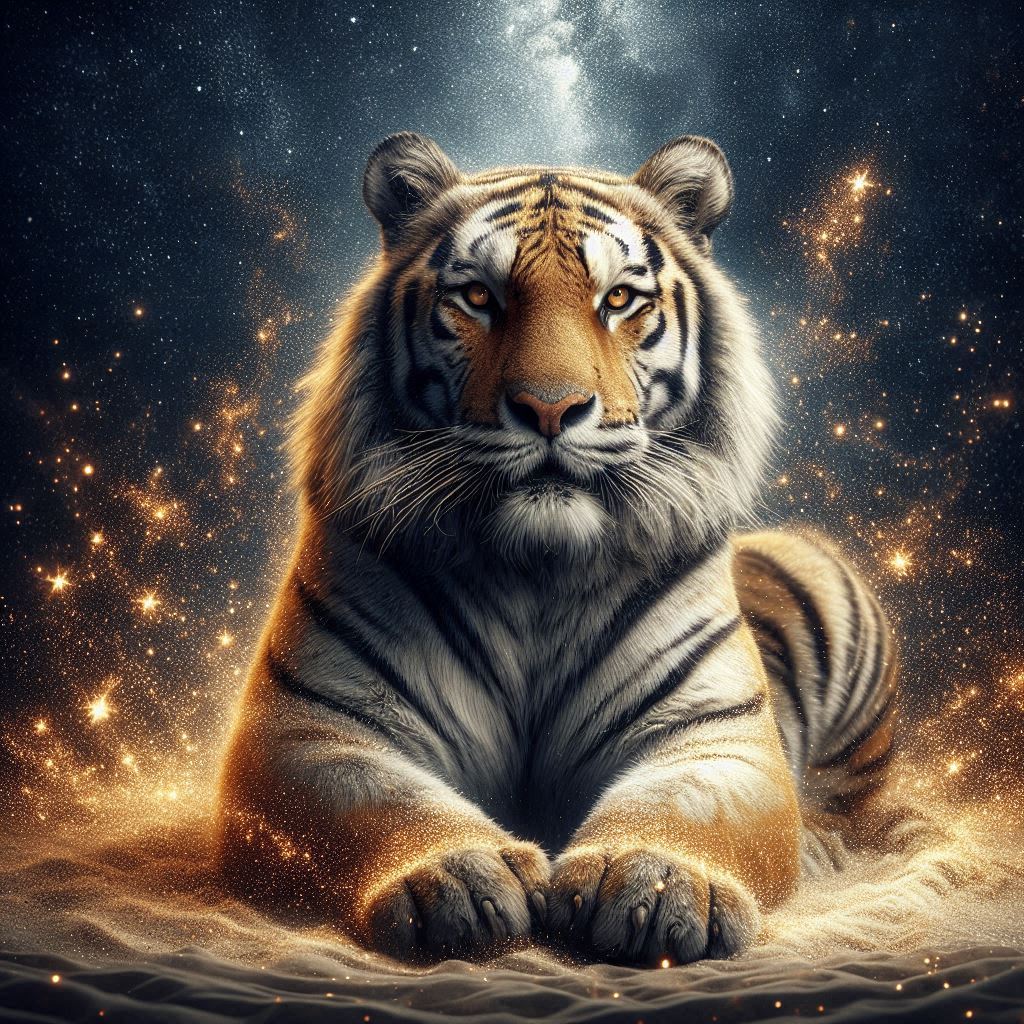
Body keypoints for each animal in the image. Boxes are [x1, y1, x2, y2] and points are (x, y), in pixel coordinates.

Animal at [216, 132, 897, 966]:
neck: (536, 571)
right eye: (479, 298)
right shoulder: (303, 727)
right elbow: (379, 800)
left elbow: (688, 805)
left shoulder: (721, 735)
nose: (550, 408)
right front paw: (458, 879)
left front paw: (656, 882)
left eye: (620, 300)